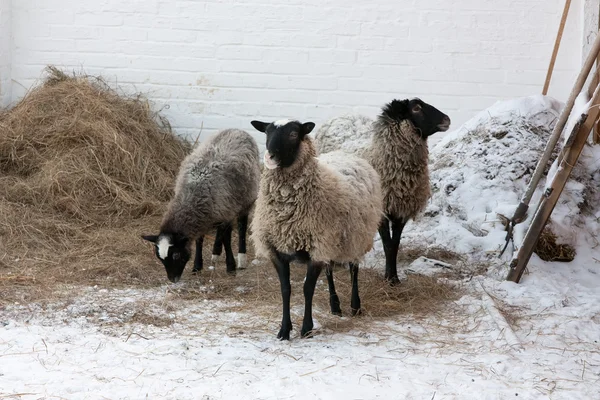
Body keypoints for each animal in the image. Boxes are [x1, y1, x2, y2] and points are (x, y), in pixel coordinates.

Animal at [144, 128, 262, 282]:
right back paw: (215, 253)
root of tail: (237, 130)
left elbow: (227, 240)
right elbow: (200, 240)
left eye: (176, 255)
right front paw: (197, 267)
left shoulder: (226, 212)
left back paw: (241, 259)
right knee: (220, 232)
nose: (173, 279)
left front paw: (231, 268)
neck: (192, 195)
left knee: (241, 226)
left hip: (245, 199)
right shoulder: (208, 214)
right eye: (160, 258)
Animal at [250, 119, 382, 340]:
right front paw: (284, 330)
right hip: (332, 242)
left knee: (354, 268)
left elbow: (307, 289)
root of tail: (344, 153)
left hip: (357, 236)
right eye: (267, 132)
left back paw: (355, 305)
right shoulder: (277, 250)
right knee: (329, 271)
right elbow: (285, 289)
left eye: (294, 134)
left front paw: (306, 328)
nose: (269, 157)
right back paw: (335, 306)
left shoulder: (318, 247)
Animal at [314, 98, 450, 282]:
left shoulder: (401, 210)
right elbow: (387, 244)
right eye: (416, 108)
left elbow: (395, 244)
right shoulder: (381, 211)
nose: (447, 120)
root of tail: (342, 116)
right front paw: (389, 278)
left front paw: (395, 278)